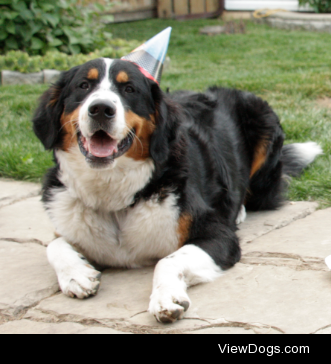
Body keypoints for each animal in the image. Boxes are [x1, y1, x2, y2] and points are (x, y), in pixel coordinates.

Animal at [32, 43, 322, 324]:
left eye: (129, 89)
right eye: (83, 86)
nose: (101, 109)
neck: (115, 197)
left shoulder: (217, 235)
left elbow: (167, 261)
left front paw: (165, 299)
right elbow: (54, 245)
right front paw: (77, 275)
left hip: (264, 132)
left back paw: (238, 210)